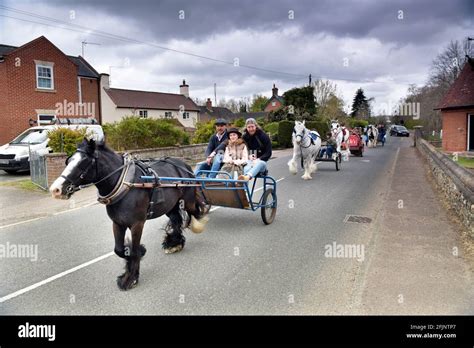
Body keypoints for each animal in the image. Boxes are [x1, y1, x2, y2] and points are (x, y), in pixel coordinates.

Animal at [49, 137, 209, 290]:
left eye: (83, 162)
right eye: (68, 160)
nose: (55, 190)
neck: (125, 184)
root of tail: (183, 166)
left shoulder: (137, 224)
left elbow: (134, 250)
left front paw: (131, 278)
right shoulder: (117, 223)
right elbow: (119, 250)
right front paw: (134, 261)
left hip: (187, 201)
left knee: (197, 211)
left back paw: (199, 224)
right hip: (170, 206)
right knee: (176, 220)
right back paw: (174, 243)